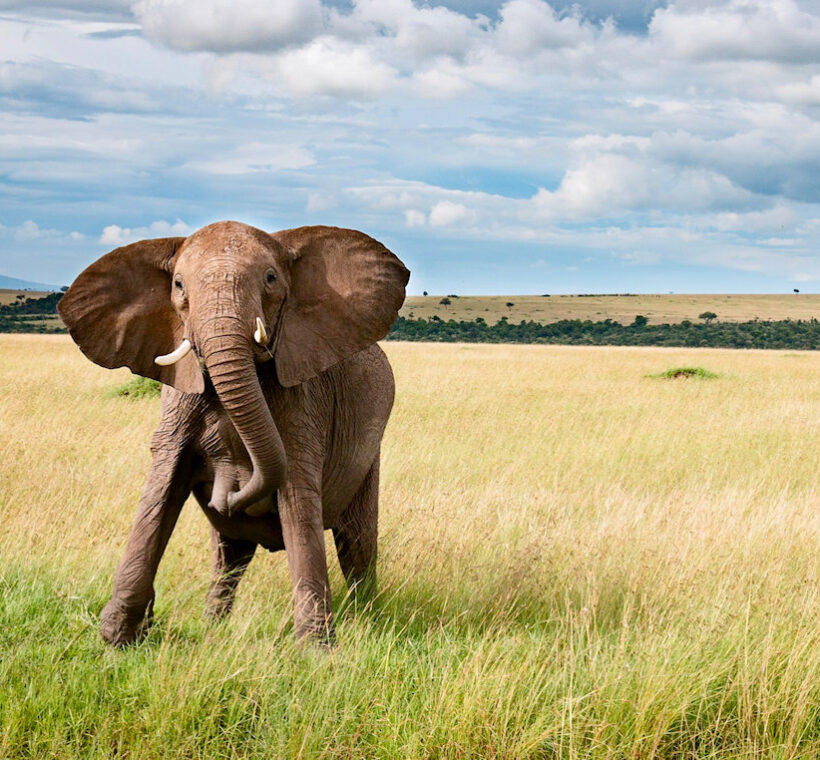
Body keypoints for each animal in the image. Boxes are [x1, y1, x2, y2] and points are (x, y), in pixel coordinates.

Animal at [58, 220, 409, 645]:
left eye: (271, 279)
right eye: (178, 285)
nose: (228, 492)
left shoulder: (304, 402)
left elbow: (297, 498)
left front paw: (316, 652)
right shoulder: (178, 397)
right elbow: (161, 488)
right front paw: (117, 638)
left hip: (370, 452)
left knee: (357, 544)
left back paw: (368, 620)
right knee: (230, 554)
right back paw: (213, 626)